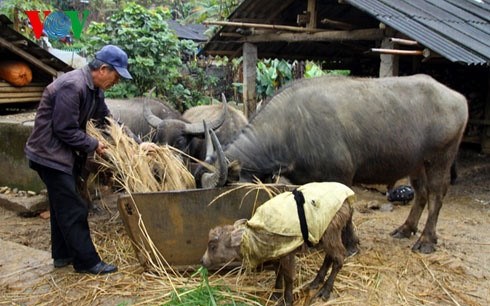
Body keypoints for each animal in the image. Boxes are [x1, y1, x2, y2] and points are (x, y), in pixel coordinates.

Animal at [198, 74, 468, 253]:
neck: (291, 128)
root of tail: (458, 98)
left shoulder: (342, 177)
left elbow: (346, 211)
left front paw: (350, 244)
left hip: (440, 159)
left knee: (436, 195)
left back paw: (426, 240)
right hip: (416, 164)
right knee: (421, 193)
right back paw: (406, 229)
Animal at [201, 183, 358, 304]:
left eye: (212, 246)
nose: (202, 261)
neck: (254, 237)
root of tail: (347, 199)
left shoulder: (287, 252)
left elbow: (288, 276)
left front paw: (287, 300)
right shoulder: (277, 252)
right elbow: (278, 272)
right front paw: (276, 294)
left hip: (331, 229)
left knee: (339, 257)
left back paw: (325, 291)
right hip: (325, 233)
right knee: (329, 257)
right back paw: (315, 282)